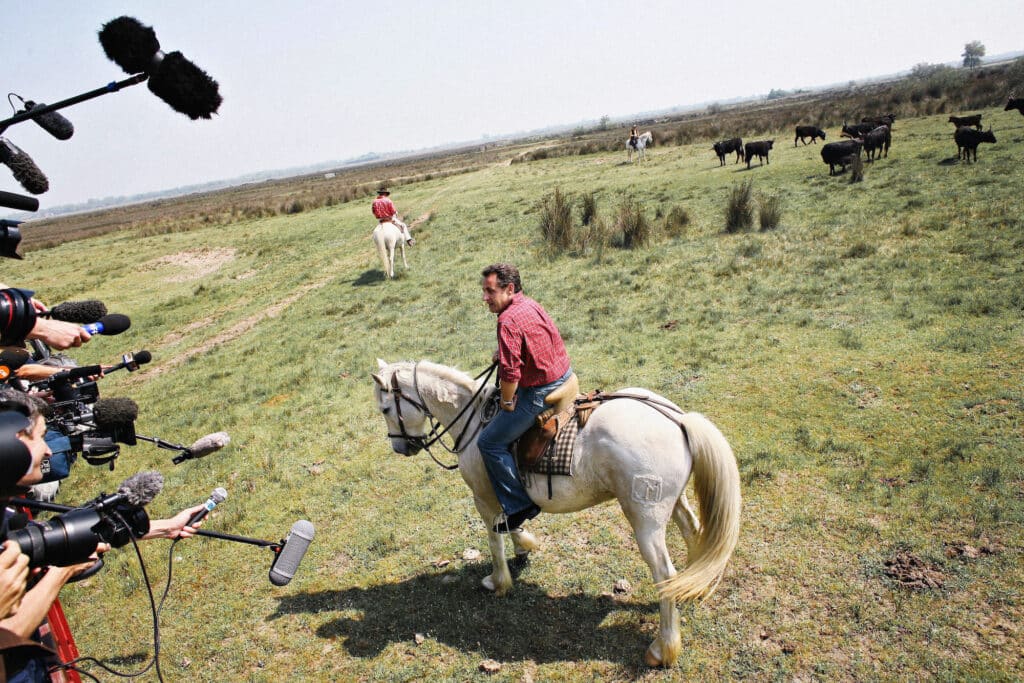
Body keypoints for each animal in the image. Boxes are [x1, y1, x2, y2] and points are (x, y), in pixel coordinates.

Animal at [372, 360, 741, 671]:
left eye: (386, 408)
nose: (400, 447)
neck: (474, 421)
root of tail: (678, 419)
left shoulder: (483, 497)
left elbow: (494, 537)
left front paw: (498, 580)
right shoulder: (500, 495)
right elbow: (511, 520)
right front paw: (524, 544)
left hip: (645, 521)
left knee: (664, 573)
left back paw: (663, 648)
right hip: (676, 502)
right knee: (693, 533)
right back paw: (693, 589)